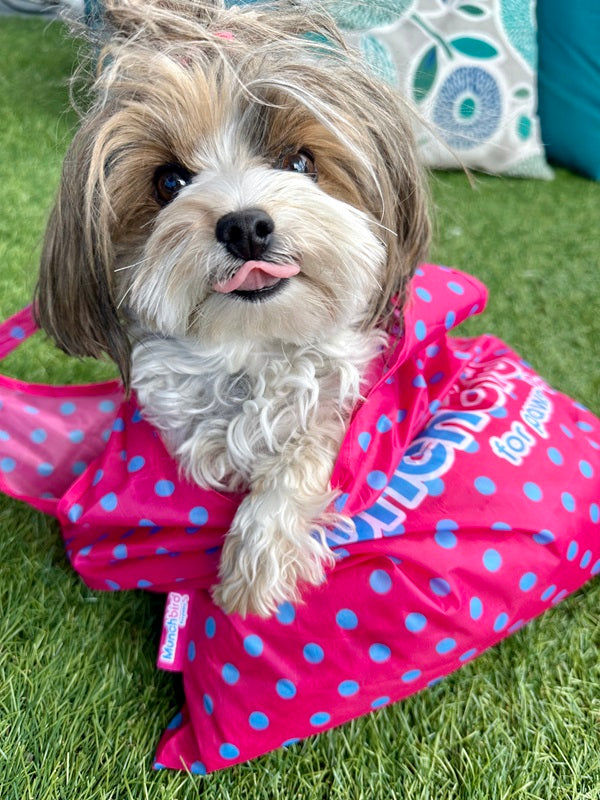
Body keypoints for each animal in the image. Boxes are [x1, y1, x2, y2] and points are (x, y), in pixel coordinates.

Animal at [35, 0, 432, 620]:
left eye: (299, 162)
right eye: (169, 181)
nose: (245, 225)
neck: (251, 348)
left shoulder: (342, 393)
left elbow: (308, 448)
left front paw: (255, 563)